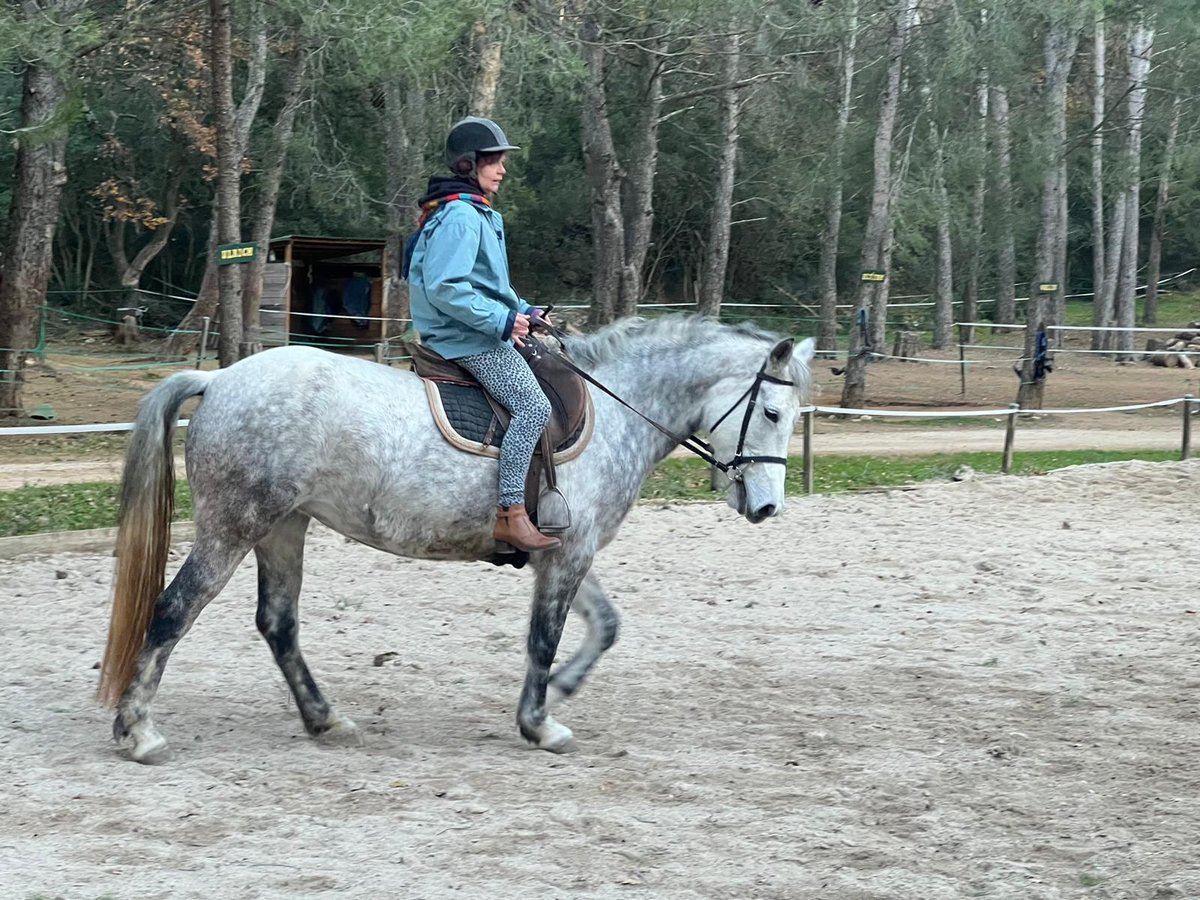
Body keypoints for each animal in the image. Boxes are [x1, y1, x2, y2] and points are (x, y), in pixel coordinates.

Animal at [100, 314, 816, 763]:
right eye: (771, 412)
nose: (767, 507)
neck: (618, 409)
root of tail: (220, 378)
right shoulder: (569, 555)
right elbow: (544, 638)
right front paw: (539, 723)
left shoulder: (561, 551)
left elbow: (606, 625)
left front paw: (560, 690)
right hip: (235, 526)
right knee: (173, 612)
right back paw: (139, 733)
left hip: (283, 528)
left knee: (277, 622)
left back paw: (325, 718)